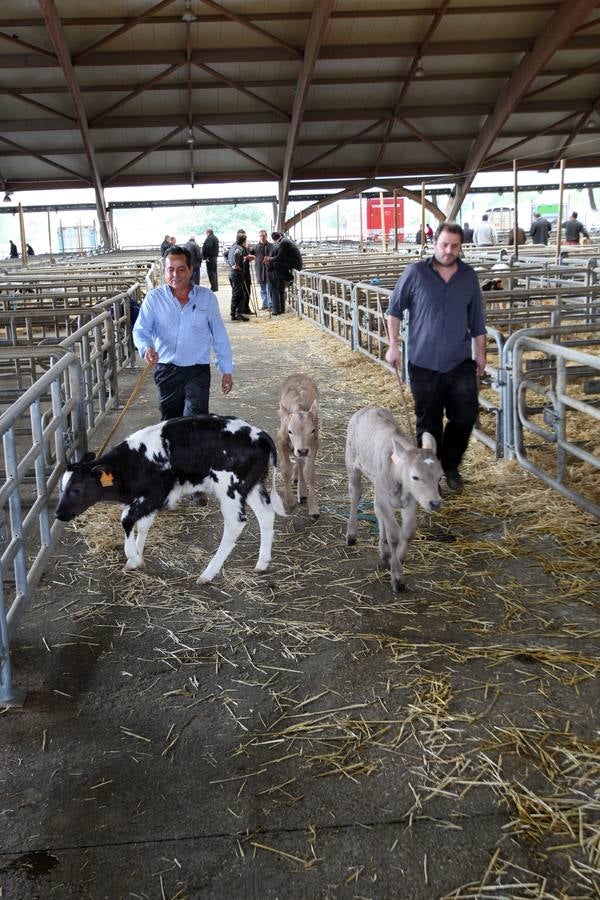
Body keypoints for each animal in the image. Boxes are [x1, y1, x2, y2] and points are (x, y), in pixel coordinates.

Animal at [54, 414, 286, 584]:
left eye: (76, 490)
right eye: (61, 488)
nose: (58, 513)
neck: (135, 462)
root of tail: (259, 434)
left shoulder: (156, 494)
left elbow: (126, 520)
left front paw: (133, 556)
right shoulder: (149, 500)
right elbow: (143, 525)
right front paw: (137, 557)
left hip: (230, 489)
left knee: (235, 525)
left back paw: (208, 573)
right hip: (252, 485)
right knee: (266, 515)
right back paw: (262, 563)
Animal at [278, 372, 322, 516]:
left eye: (312, 430)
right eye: (290, 431)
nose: (303, 451)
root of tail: (298, 374)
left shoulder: (314, 443)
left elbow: (309, 472)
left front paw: (313, 507)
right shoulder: (281, 439)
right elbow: (286, 469)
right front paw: (290, 502)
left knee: (300, 461)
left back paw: (301, 491)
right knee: (298, 459)